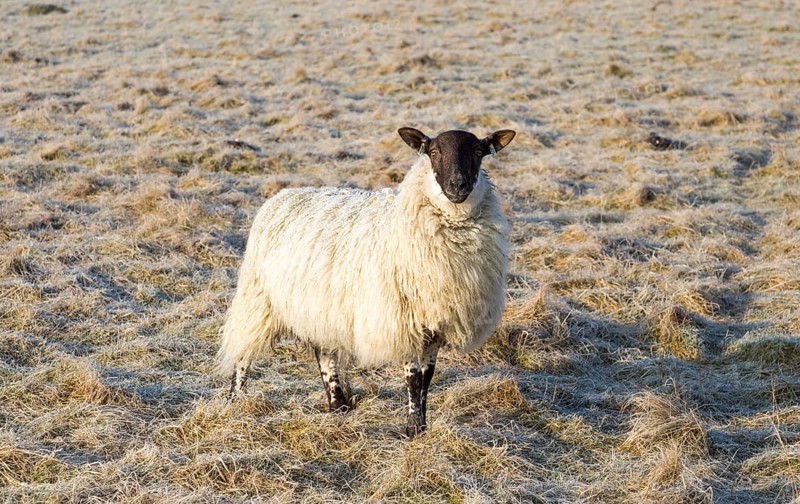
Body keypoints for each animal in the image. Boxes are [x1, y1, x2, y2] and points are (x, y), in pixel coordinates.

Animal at [217, 126, 516, 437]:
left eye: (479, 152)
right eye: (433, 152)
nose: (458, 185)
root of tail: (284, 194)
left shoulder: (436, 323)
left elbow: (428, 377)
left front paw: (422, 426)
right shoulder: (402, 320)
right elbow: (413, 377)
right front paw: (412, 429)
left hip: (321, 307)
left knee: (324, 352)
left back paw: (338, 405)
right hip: (258, 298)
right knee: (242, 353)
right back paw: (235, 401)